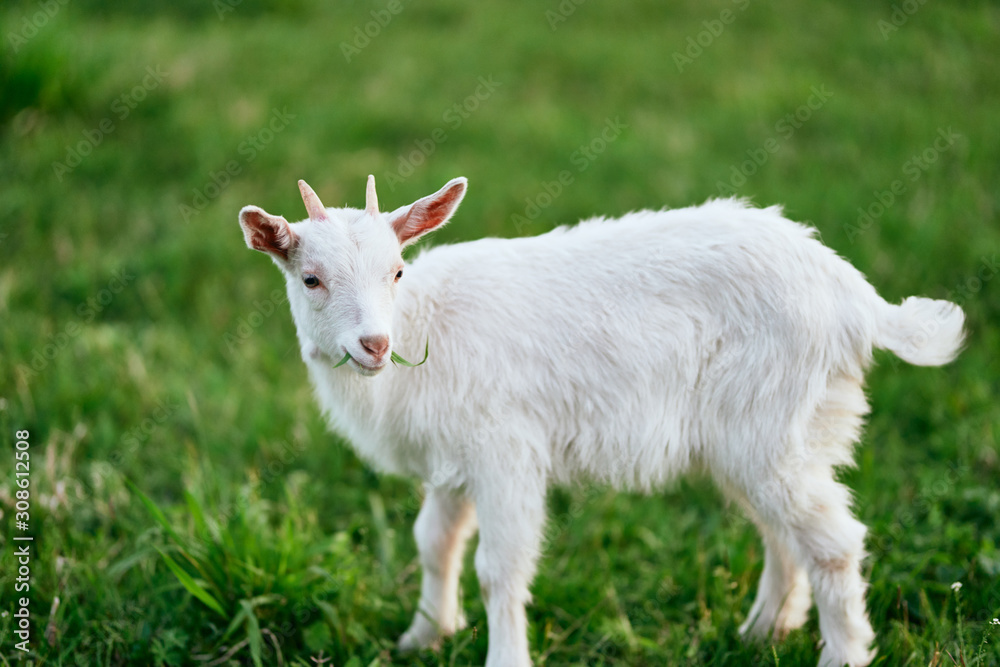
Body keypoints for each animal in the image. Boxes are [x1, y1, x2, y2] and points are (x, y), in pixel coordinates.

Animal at [238, 175, 964, 664]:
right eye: (310, 278)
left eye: (395, 270)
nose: (375, 345)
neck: (427, 322)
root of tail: (858, 300)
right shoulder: (454, 460)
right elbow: (434, 542)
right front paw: (423, 636)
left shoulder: (505, 450)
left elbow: (500, 565)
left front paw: (503, 657)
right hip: (763, 436)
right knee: (784, 532)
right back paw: (763, 630)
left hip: (772, 422)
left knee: (833, 540)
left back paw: (839, 653)